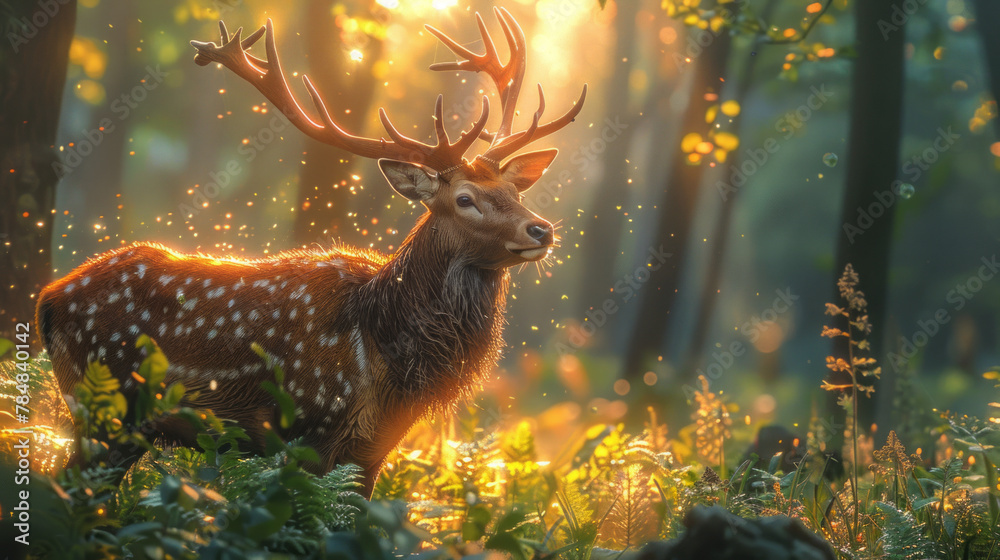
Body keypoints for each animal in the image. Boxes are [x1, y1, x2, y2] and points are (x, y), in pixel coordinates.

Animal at [36, 8, 586, 497]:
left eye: (513, 190)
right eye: (465, 199)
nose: (541, 230)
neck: (388, 360)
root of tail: (48, 299)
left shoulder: (373, 451)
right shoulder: (304, 430)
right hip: (106, 405)